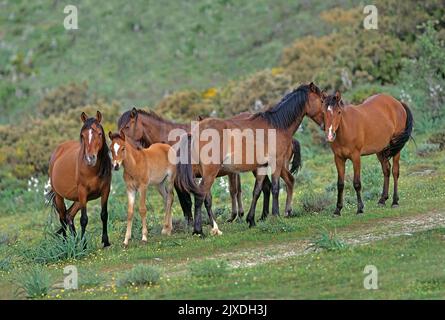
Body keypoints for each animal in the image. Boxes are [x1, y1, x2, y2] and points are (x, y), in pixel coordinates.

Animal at [46, 110, 112, 248]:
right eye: (83, 135)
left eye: (99, 133)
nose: (90, 158)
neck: (93, 170)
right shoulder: (82, 192)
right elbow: (84, 219)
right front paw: (84, 244)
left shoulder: (105, 190)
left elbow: (104, 215)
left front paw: (105, 241)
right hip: (61, 196)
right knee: (62, 218)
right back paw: (66, 243)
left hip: (78, 199)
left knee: (69, 216)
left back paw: (75, 242)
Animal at [175, 82, 324, 235]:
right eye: (323, 100)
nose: (325, 123)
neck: (277, 125)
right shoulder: (274, 163)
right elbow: (275, 188)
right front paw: (274, 215)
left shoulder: (262, 166)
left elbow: (256, 191)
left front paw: (251, 219)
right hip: (211, 172)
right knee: (200, 196)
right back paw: (200, 230)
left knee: (286, 181)